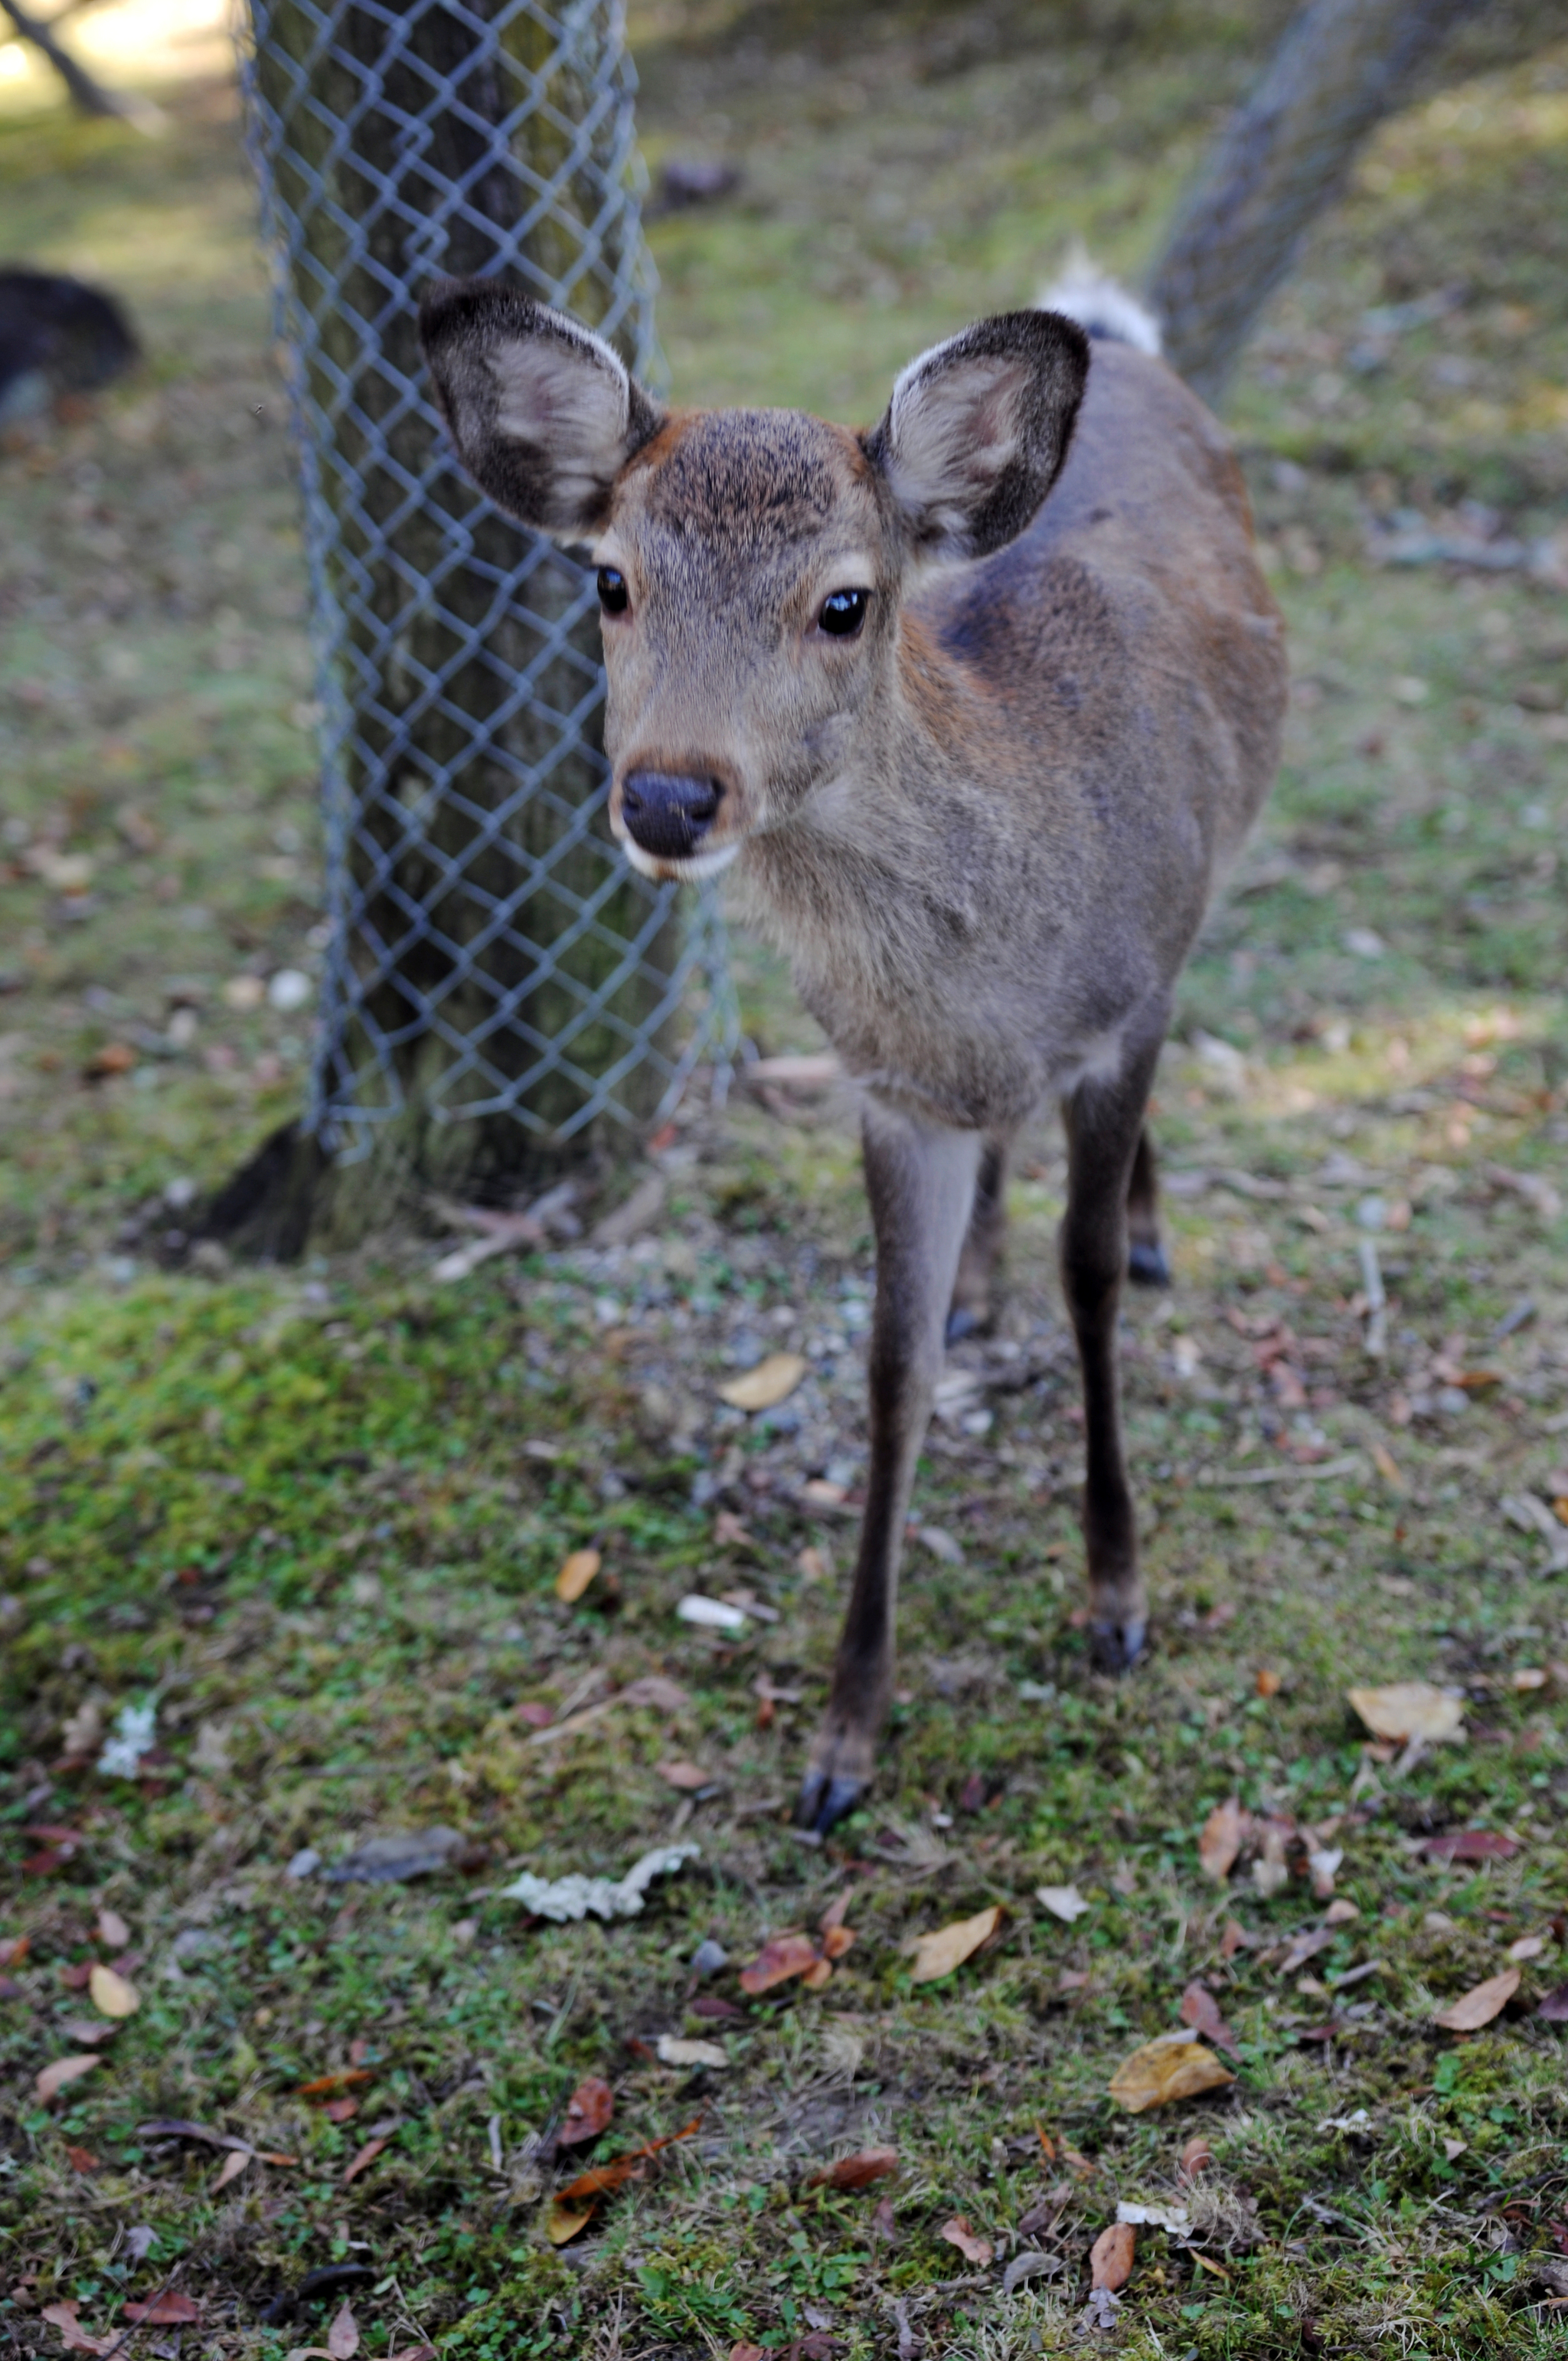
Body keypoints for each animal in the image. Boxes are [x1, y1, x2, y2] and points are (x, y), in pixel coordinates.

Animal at [420, 263, 1284, 1841]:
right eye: (608, 579)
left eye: (842, 600)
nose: (669, 796)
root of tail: (1119, 344)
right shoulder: (885, 1092)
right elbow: (887, 1365)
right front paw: (842, 1739)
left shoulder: (1118, 1014)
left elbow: (1085, 1287)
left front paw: (1114, 1598)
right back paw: (983, 1274)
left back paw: (1136, 1231)